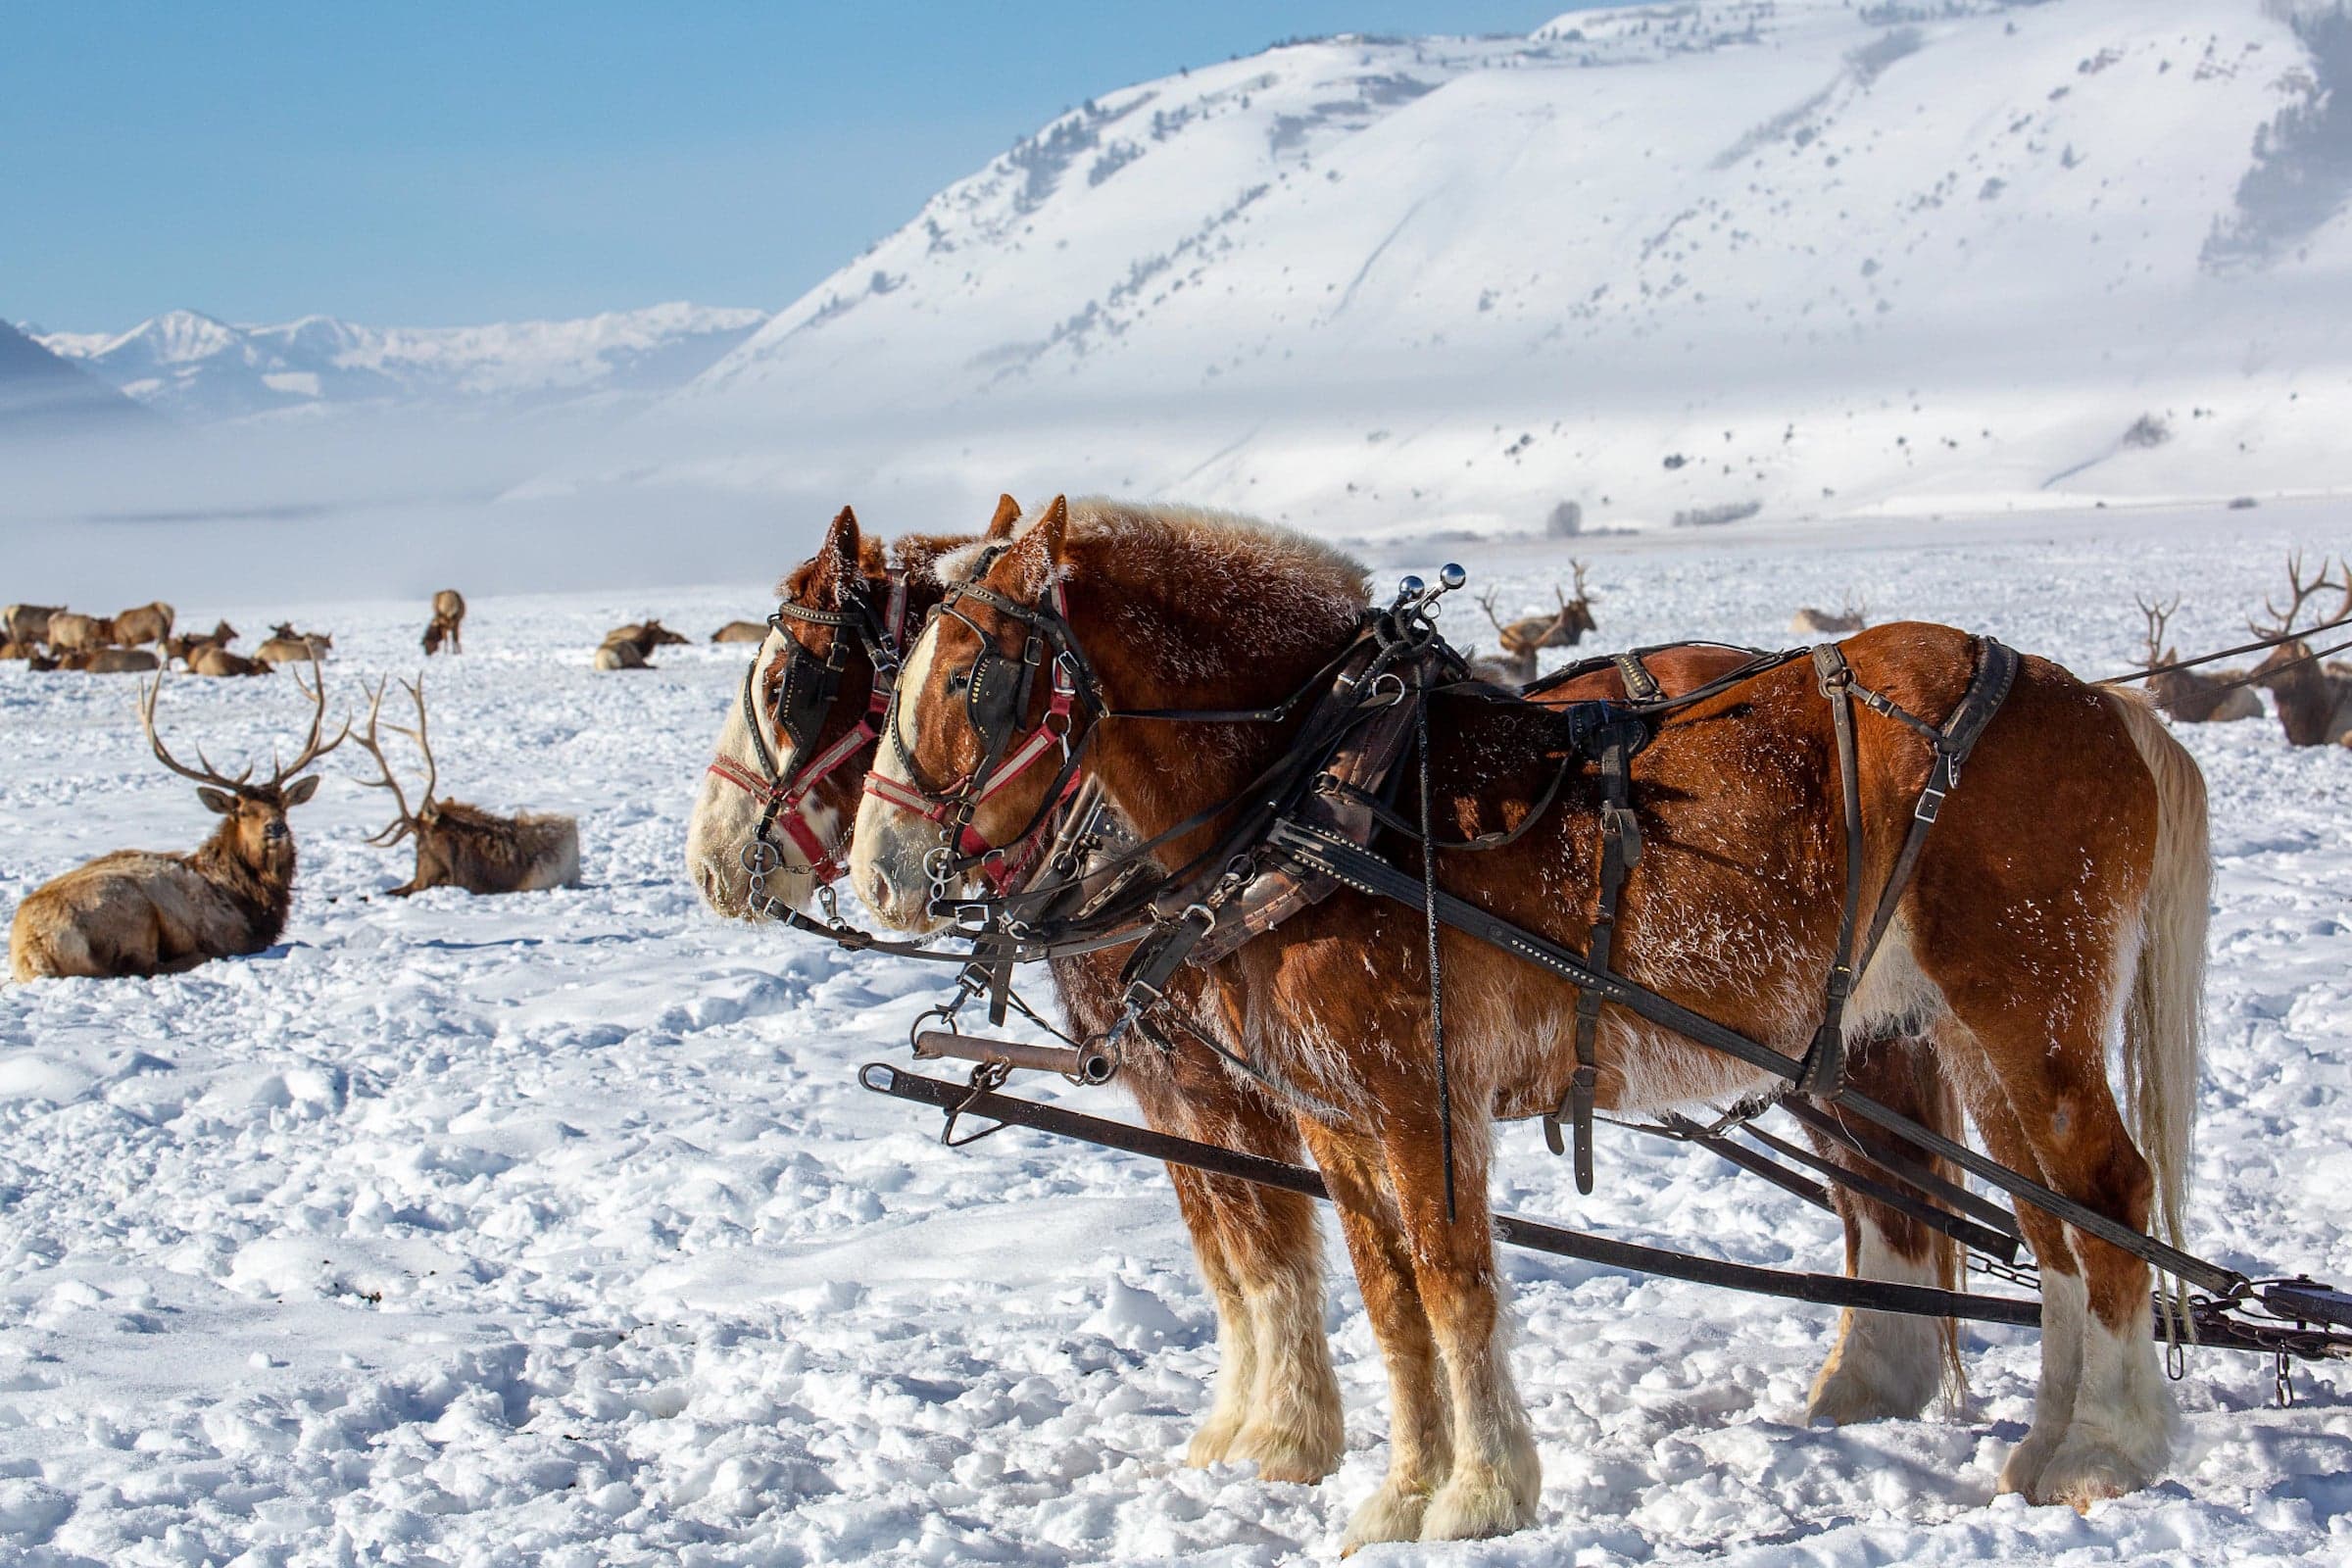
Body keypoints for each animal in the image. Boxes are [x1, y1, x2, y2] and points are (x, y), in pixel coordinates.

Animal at [8, 662, 346, 981]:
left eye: (283, 806)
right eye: (242, 811)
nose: (276, 827)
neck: (250, 897)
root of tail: (33, 950)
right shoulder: (229, 933)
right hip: (129, 909)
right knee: (142, 966)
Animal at [847, 496, 2207, 1546]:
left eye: (970, 675)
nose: (878, 869)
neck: (1324, 785)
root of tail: (2098, 701)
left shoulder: (1420, 1097)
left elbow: (1455, 1289)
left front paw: (1481, 1495)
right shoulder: (1335, 1114)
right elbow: (1389, 1300)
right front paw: (1401, 1494)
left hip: (2024, 1010)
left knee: (2108, 1191)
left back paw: (2112, 1447)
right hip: (1970, 1035)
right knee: (2053, 1218)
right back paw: (2050, 1441)